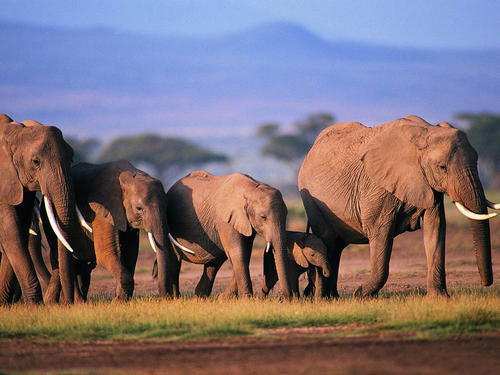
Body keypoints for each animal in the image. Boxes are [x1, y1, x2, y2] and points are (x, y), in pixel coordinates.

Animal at [0, 115, 92, 306]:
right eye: (36, 162)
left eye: (71, 158)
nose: (69, 304)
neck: (14, 132)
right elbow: (11, 232)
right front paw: (35, 306)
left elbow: (18, 232)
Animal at [36, 160, 171, 302]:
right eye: (139, 208)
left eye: (166, 206)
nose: (165, 297)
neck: (128, 175)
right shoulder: (102, 210)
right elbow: (105, 253)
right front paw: (117, 302)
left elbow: (130, 253)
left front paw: (121, 299)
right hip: (48, 220)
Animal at [160, 171, 292, 300]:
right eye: (263, 217)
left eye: (286, 215)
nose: (284, 298)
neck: (251, 189)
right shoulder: (225, 221)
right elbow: (238, 252)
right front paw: (247, 299)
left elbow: (245, 253)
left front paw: (225, 298)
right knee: (176, 259)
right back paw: (177, 297)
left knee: (214, 263)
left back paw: (201, 297)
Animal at [298, 116, 498, 298]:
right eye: (442, 167)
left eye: (477, 161)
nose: (485, 283)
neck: (426, 132)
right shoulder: (377, 187)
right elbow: (380, 232)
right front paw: (361, 295)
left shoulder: (427, 185)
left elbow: (435, 228)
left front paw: (440, 298)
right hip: (312, 201)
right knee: (328, 240)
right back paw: (325, 297)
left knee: (336, 246)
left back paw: (333, 297)